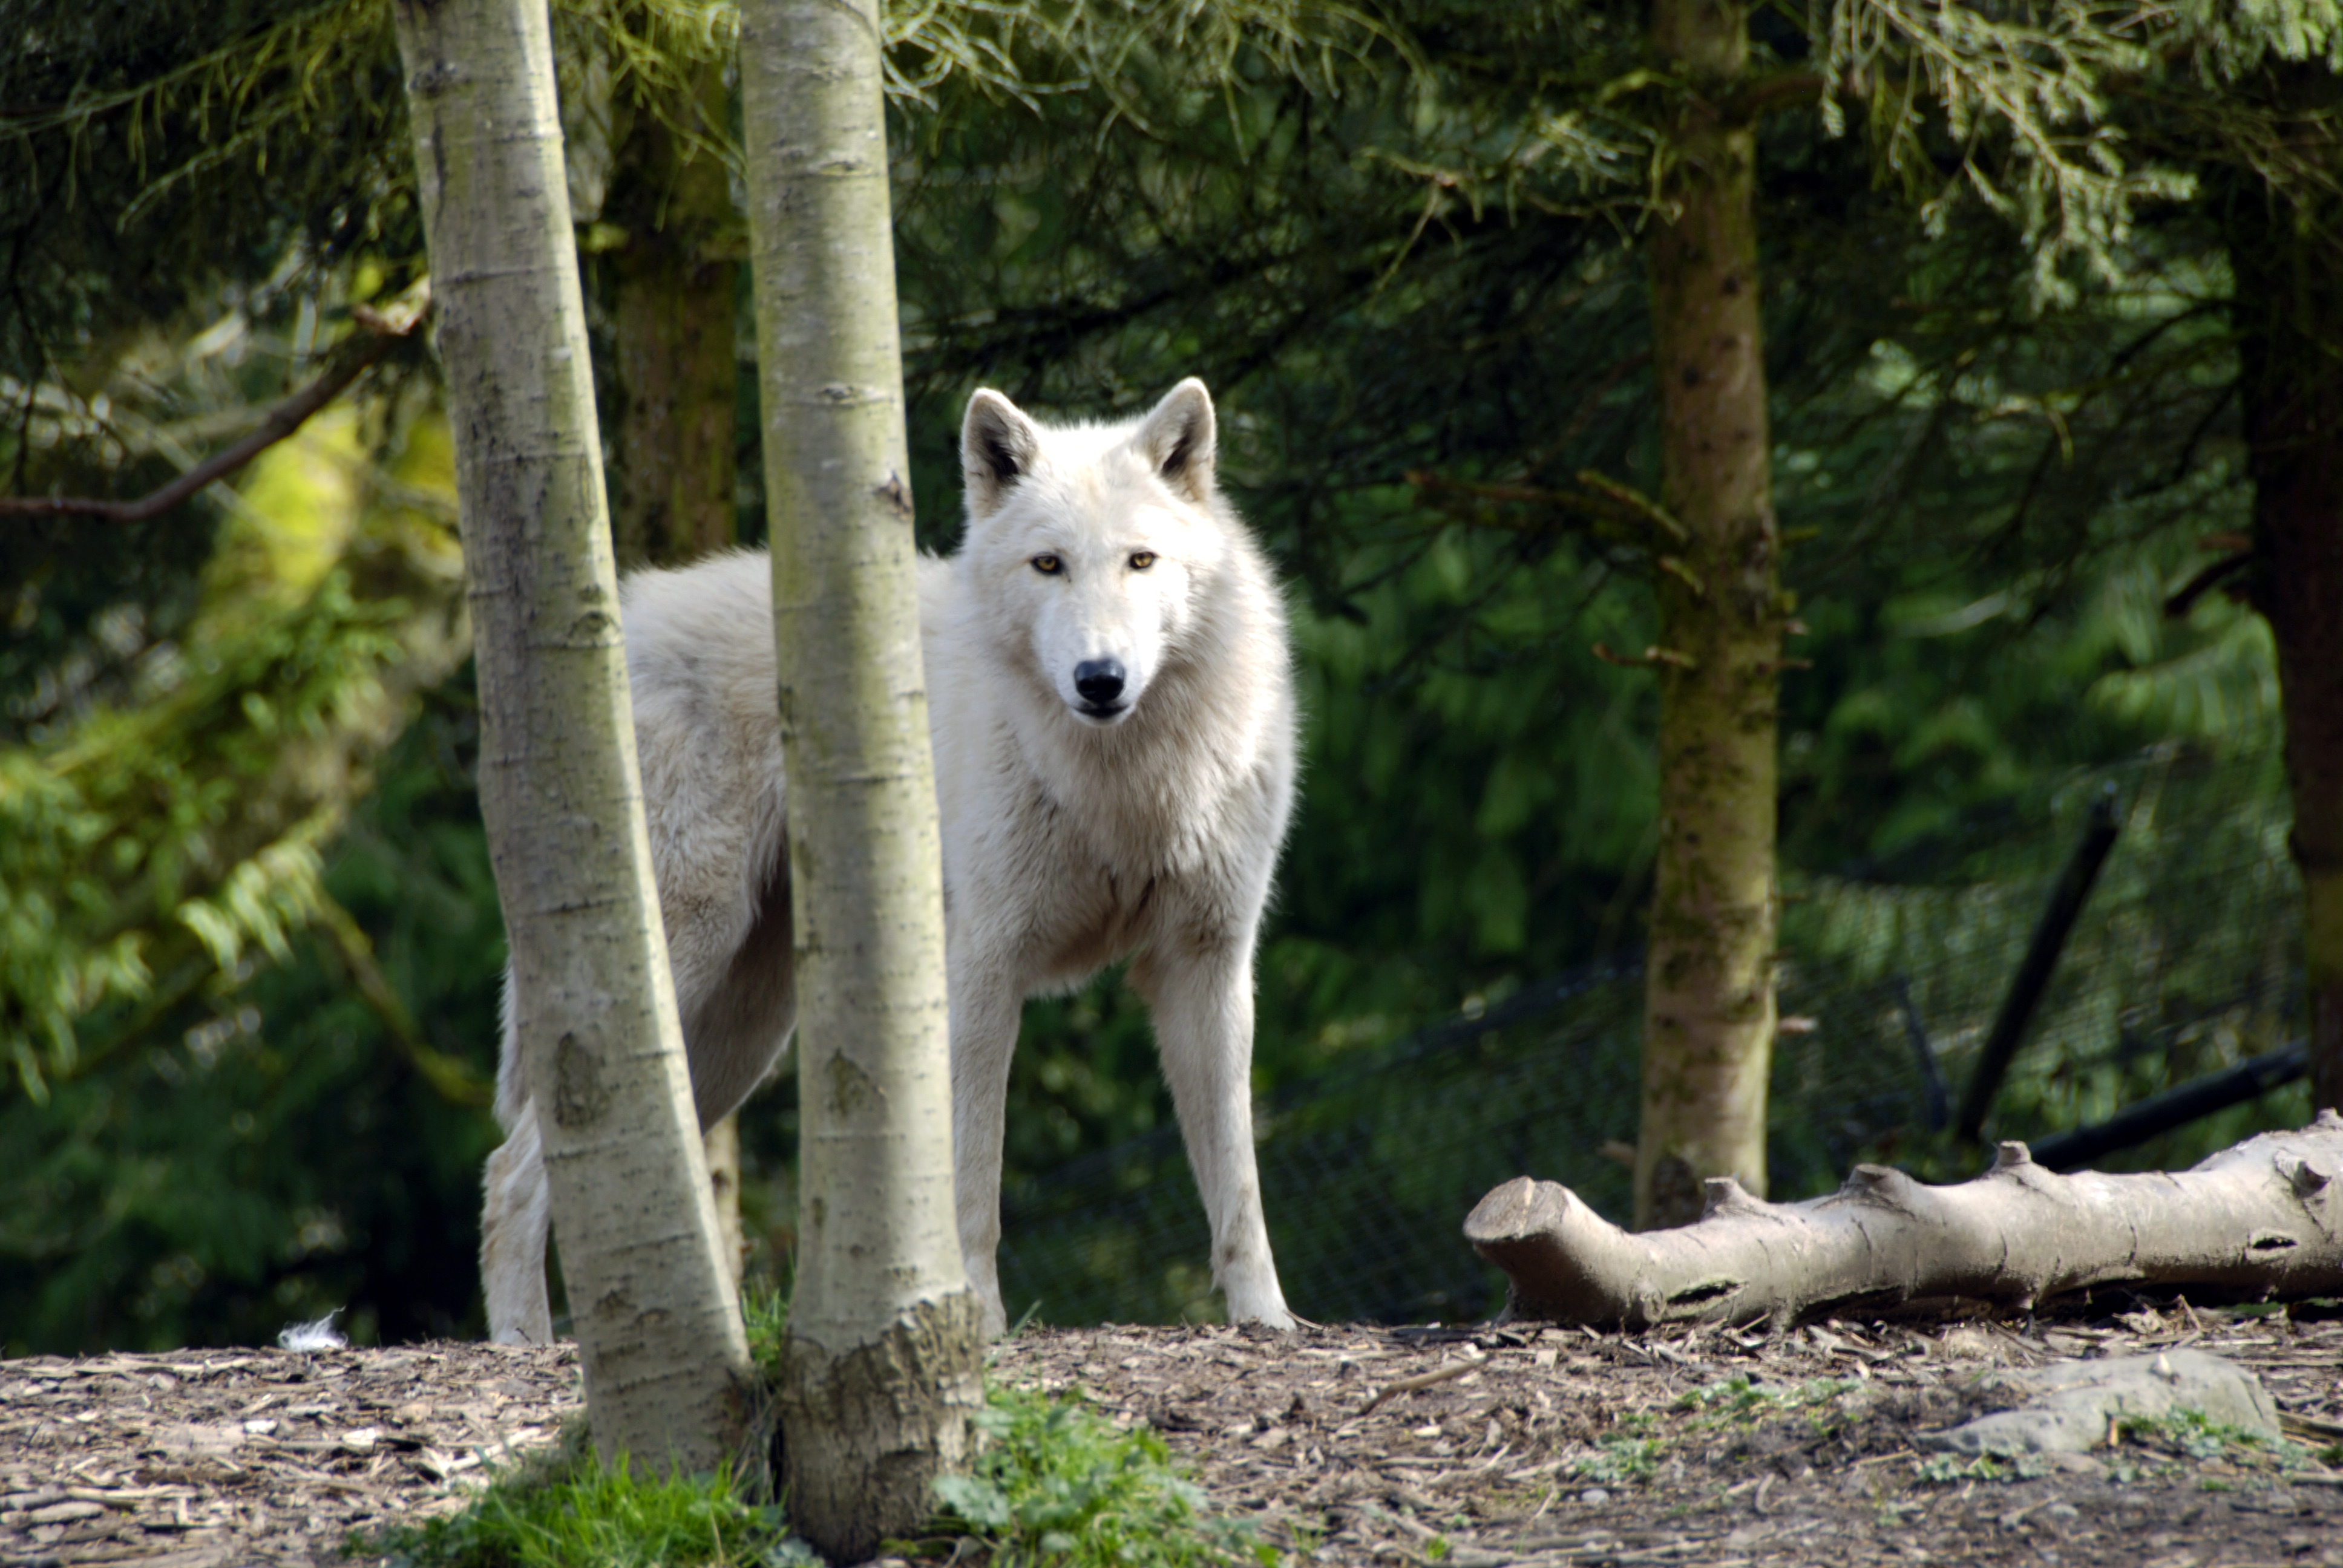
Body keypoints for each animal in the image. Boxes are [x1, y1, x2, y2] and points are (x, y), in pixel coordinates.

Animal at [481, 378, 1299, 1342]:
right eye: (1048, 565)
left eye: (1141, 561)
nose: (1099, 679)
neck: (1126, 787)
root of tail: (624, 626)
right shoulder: (982, 968)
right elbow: (974, 1182)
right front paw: (978, 1327)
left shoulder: (1205, 966)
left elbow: (1238, 1182)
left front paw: (1269, 1321)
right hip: (684, 975)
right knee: (513, 1176)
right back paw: (526, 1346)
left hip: (735, 1034)